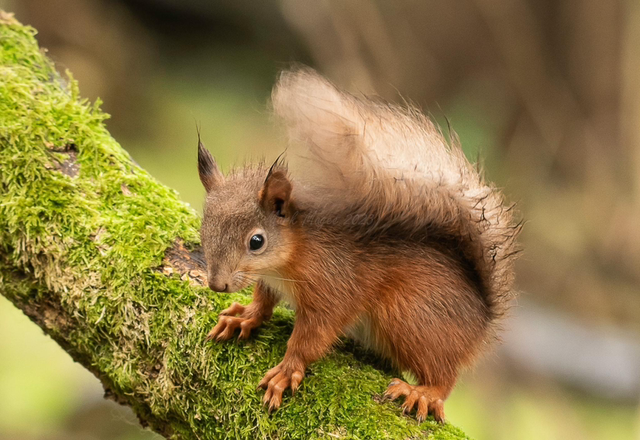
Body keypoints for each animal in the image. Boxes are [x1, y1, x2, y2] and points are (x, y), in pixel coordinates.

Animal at [197, 68, 521, 423]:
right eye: (205, 225)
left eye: (257, 241)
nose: (217, 285)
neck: (287, 260)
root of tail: (483, 321)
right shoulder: (270, 282)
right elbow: (263, 302)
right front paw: (244, 317)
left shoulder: (332, 287)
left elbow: (312, 337)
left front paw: (287, 370)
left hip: (412, 316)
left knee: (444, 375)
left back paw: (424, 392)